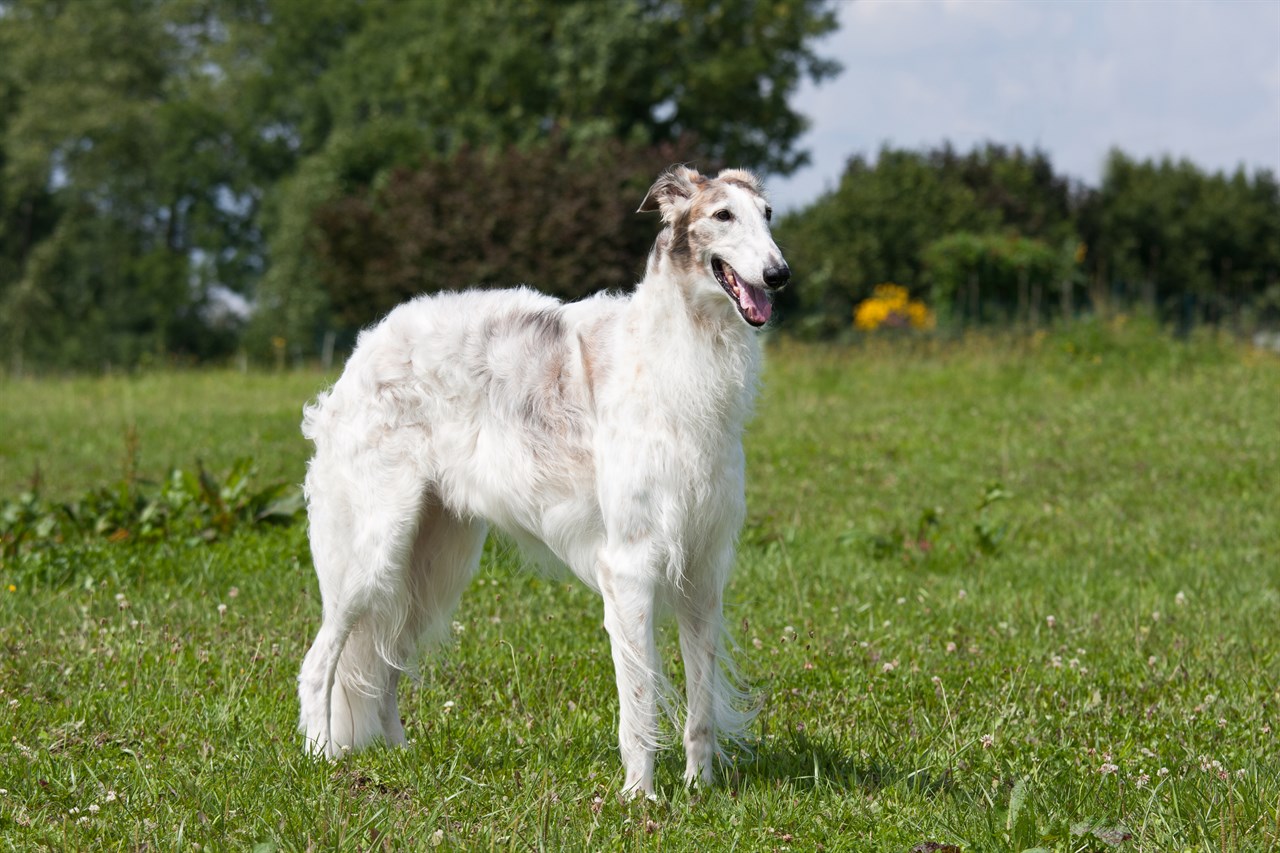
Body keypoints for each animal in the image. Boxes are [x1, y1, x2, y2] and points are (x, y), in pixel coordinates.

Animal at [296, 166, 788, 799]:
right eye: (723, 215)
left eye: (768, 215)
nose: (779, 274)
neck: (679, 353)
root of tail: (362, 352)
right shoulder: (630, 567)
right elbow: (640, 703)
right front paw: (641, 797)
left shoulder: (704, 568)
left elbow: (700, 708)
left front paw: (699, 790)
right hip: (371, 553)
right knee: (318, 664)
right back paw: (321, 757)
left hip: (432, 564)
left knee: (384, 665)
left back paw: (400, 756)